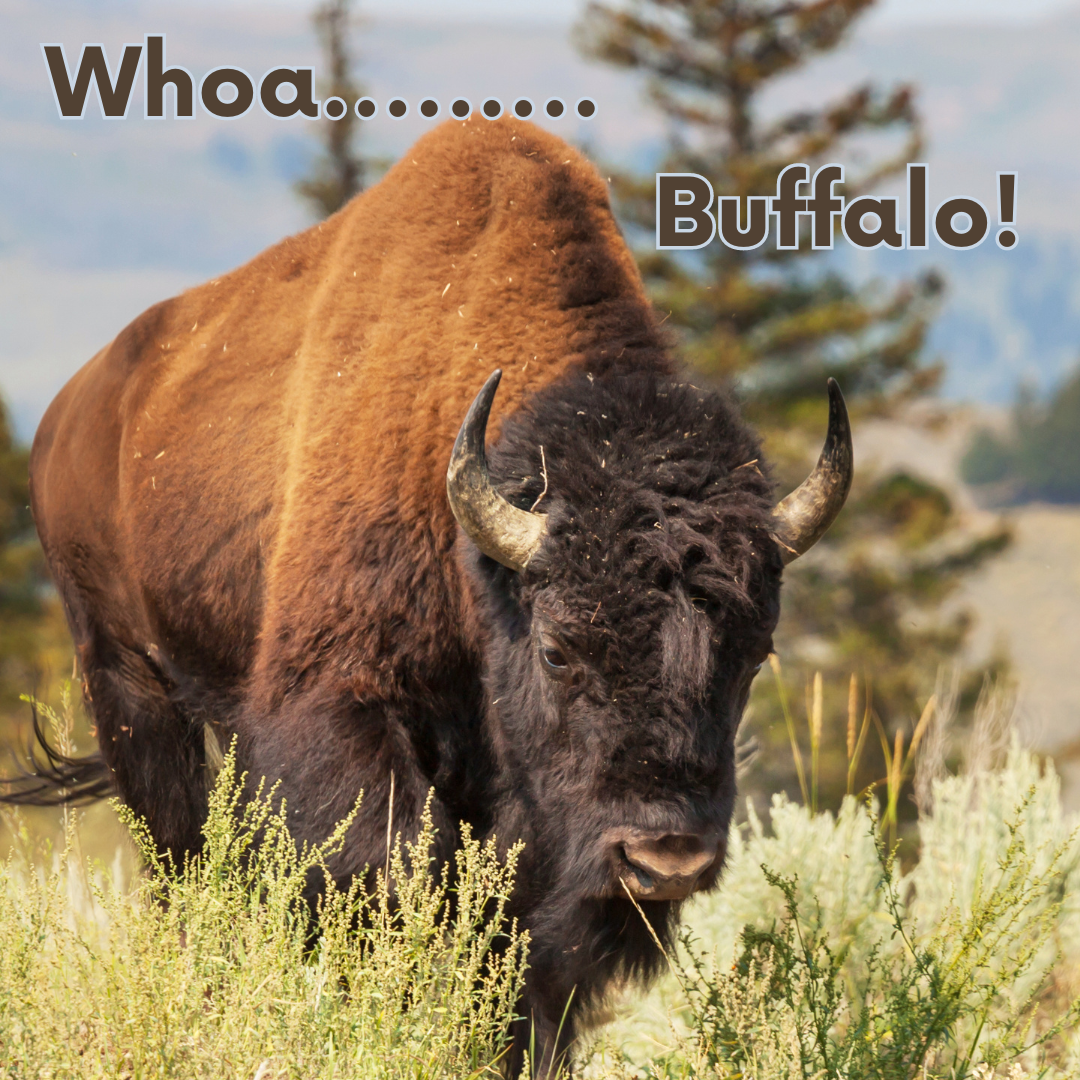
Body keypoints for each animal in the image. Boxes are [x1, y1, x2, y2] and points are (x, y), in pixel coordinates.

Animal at [6, 113, 851, 1075]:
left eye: (753, 653)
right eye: (557, 648)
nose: (664, 857)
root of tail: (71, 413)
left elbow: (519, 944)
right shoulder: (341, 706)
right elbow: (399, 876)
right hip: (129, 684)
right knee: (184, 864)